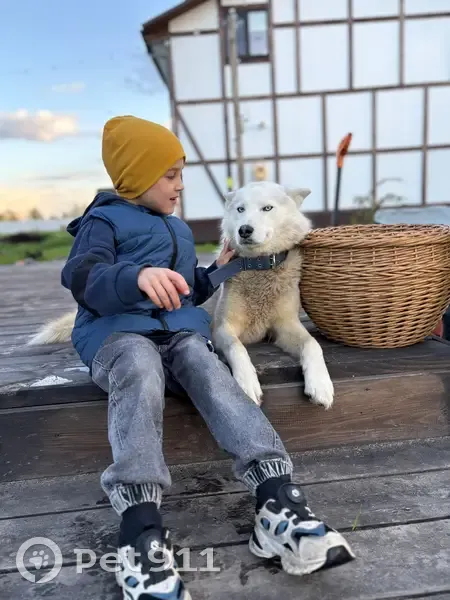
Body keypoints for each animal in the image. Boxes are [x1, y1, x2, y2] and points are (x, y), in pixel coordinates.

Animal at [28, 181, 334, 409]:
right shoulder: (223, 328)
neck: (257, 267)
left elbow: (313, 345)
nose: (244, 230)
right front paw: (247, 383)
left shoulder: (285, 326)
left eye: (267, 208)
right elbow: (238, 349)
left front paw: (320, 384)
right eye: (240, 209)